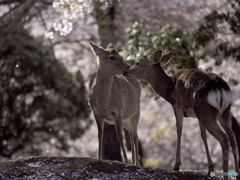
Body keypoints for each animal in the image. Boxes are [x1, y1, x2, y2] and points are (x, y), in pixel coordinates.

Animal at [124, 48, 240, 179]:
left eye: (137, 63)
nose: (125, 70)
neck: (167, 88)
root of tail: (220, 90)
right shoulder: (197, 115)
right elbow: (203, 135)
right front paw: (210, 167)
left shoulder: (177, 105)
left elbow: (179, 130)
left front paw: (176, 165)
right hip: (224, 112)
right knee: (232, 136)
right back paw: (237, 174)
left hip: (207, 112)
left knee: (224, 138)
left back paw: (226, 175)